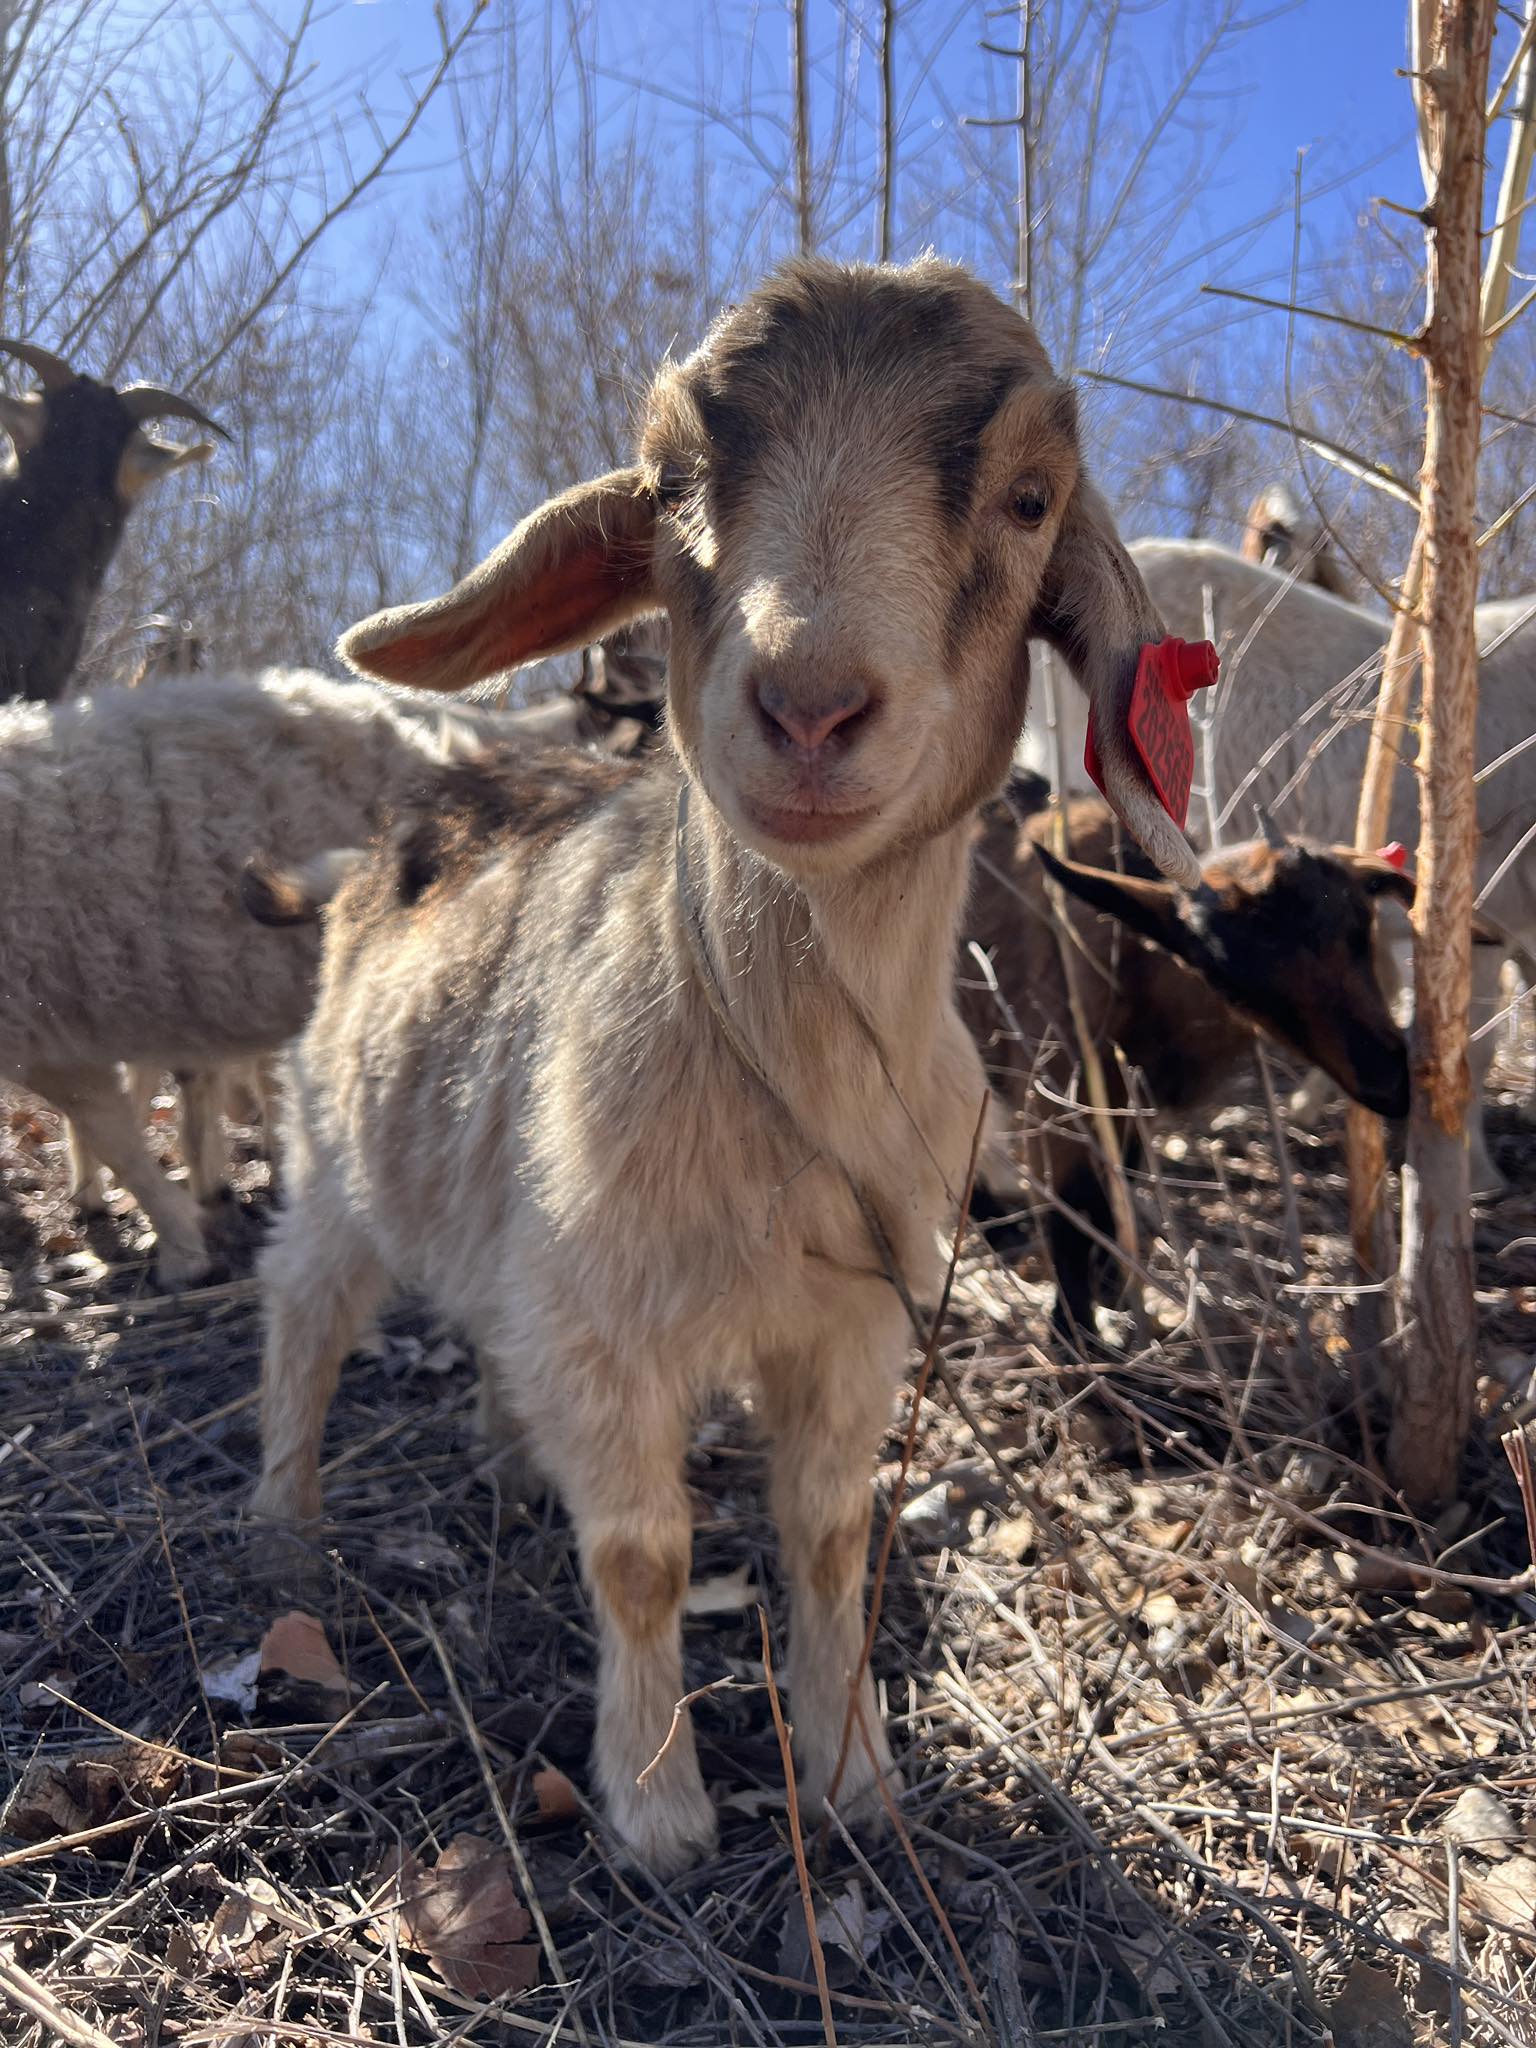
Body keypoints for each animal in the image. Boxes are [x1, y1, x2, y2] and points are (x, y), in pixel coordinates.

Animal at [246, 255, 1197, 1875]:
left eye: (1029, 500)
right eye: (676, 483)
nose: (809, 705)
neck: (791, 1081)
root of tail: (390, 832)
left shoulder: (853, 1319)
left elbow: (828, 1538)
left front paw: (857, 1775)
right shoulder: (610, 1313)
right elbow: (643, 1555)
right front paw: (657, 1807)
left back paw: (506, 1460)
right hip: (334, 1156)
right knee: (302, 1315)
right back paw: (282, 1521)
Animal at [959, 781, 1426, 1342]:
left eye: (1358, 927)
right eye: (1228, 976)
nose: (1389, 1082)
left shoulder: (1130, 1104)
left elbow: (1118, 1185)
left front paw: (1112, 1283)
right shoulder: (1058, 1090)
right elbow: (1073, 1209)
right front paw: (1074, 1337)